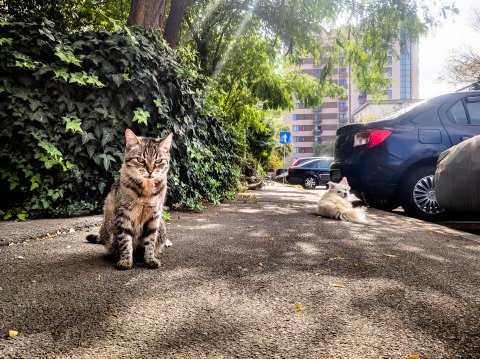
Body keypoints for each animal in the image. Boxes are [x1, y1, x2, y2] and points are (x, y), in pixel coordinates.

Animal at [87, 129, 173, 270]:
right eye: (140, 160)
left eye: (158, 161)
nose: (150, 171)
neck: (146, 190)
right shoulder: (123, 214)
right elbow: (125, 240)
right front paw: (126, 260)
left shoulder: (155, 215)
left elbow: (150, 240)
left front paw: (150, 259)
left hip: (162, 227)